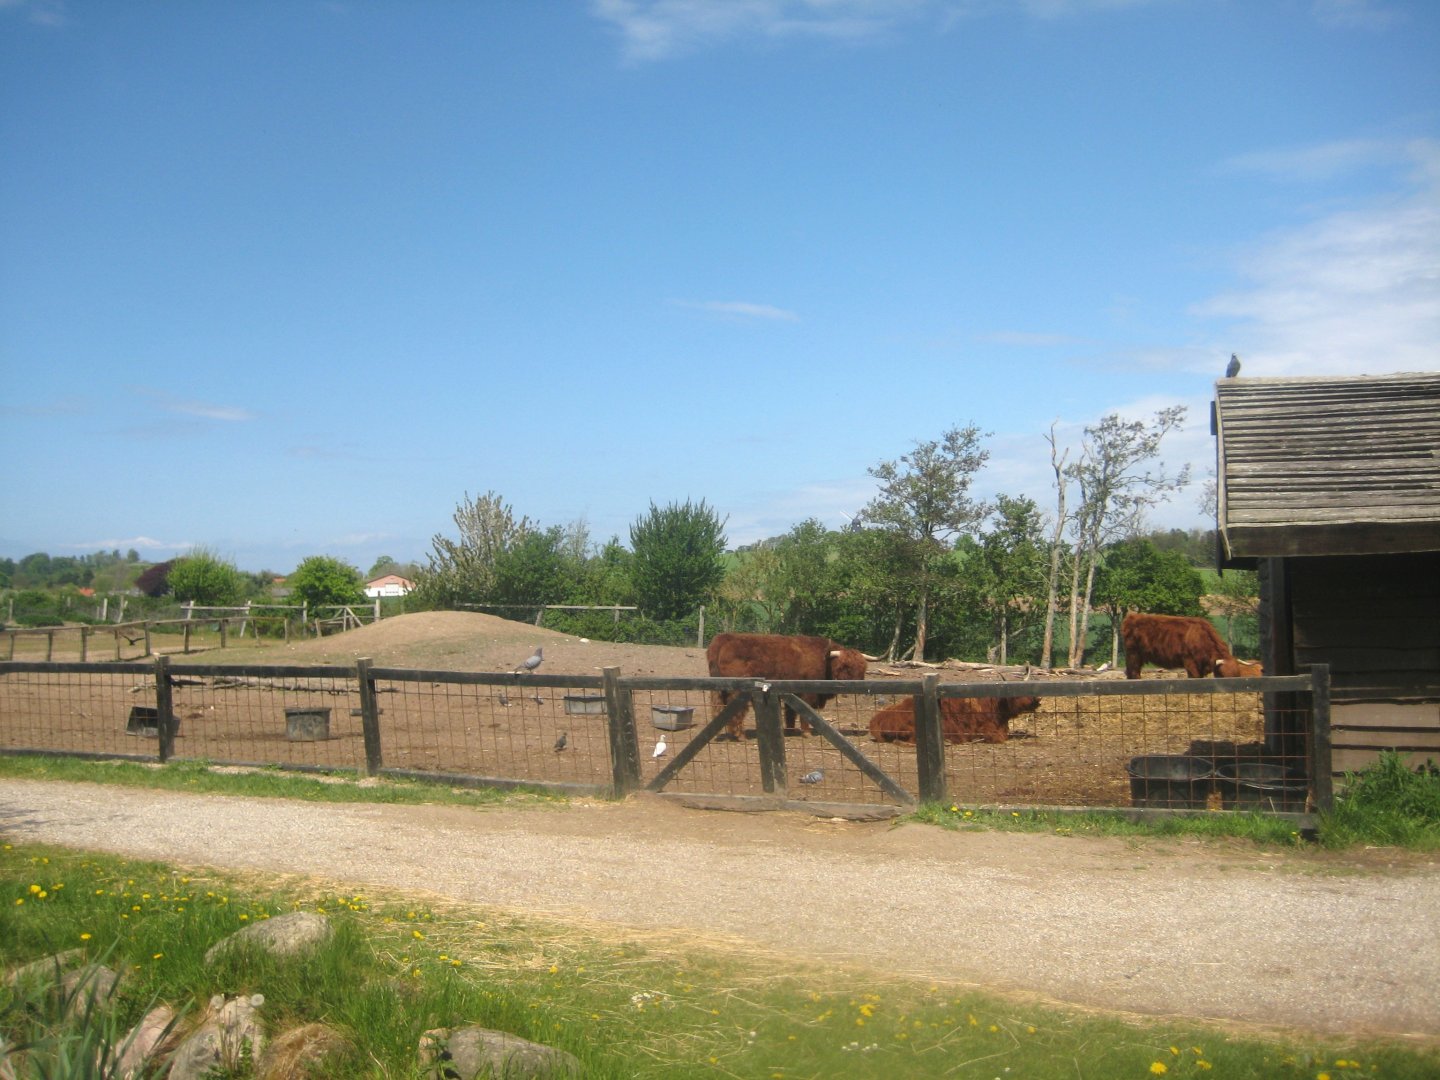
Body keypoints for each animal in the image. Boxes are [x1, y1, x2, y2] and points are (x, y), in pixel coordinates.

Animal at [705, 632, 867, 740]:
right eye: (844, 667)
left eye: (861, 668)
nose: (854, 686)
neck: (824, 659)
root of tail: (724, 638)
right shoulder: (807, 695)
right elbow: (804, 714)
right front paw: (806, 733)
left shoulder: (791, 693)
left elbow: (790, 713)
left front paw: (790, 731)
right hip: (737, 692)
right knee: (737, 711)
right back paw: (740, 735)